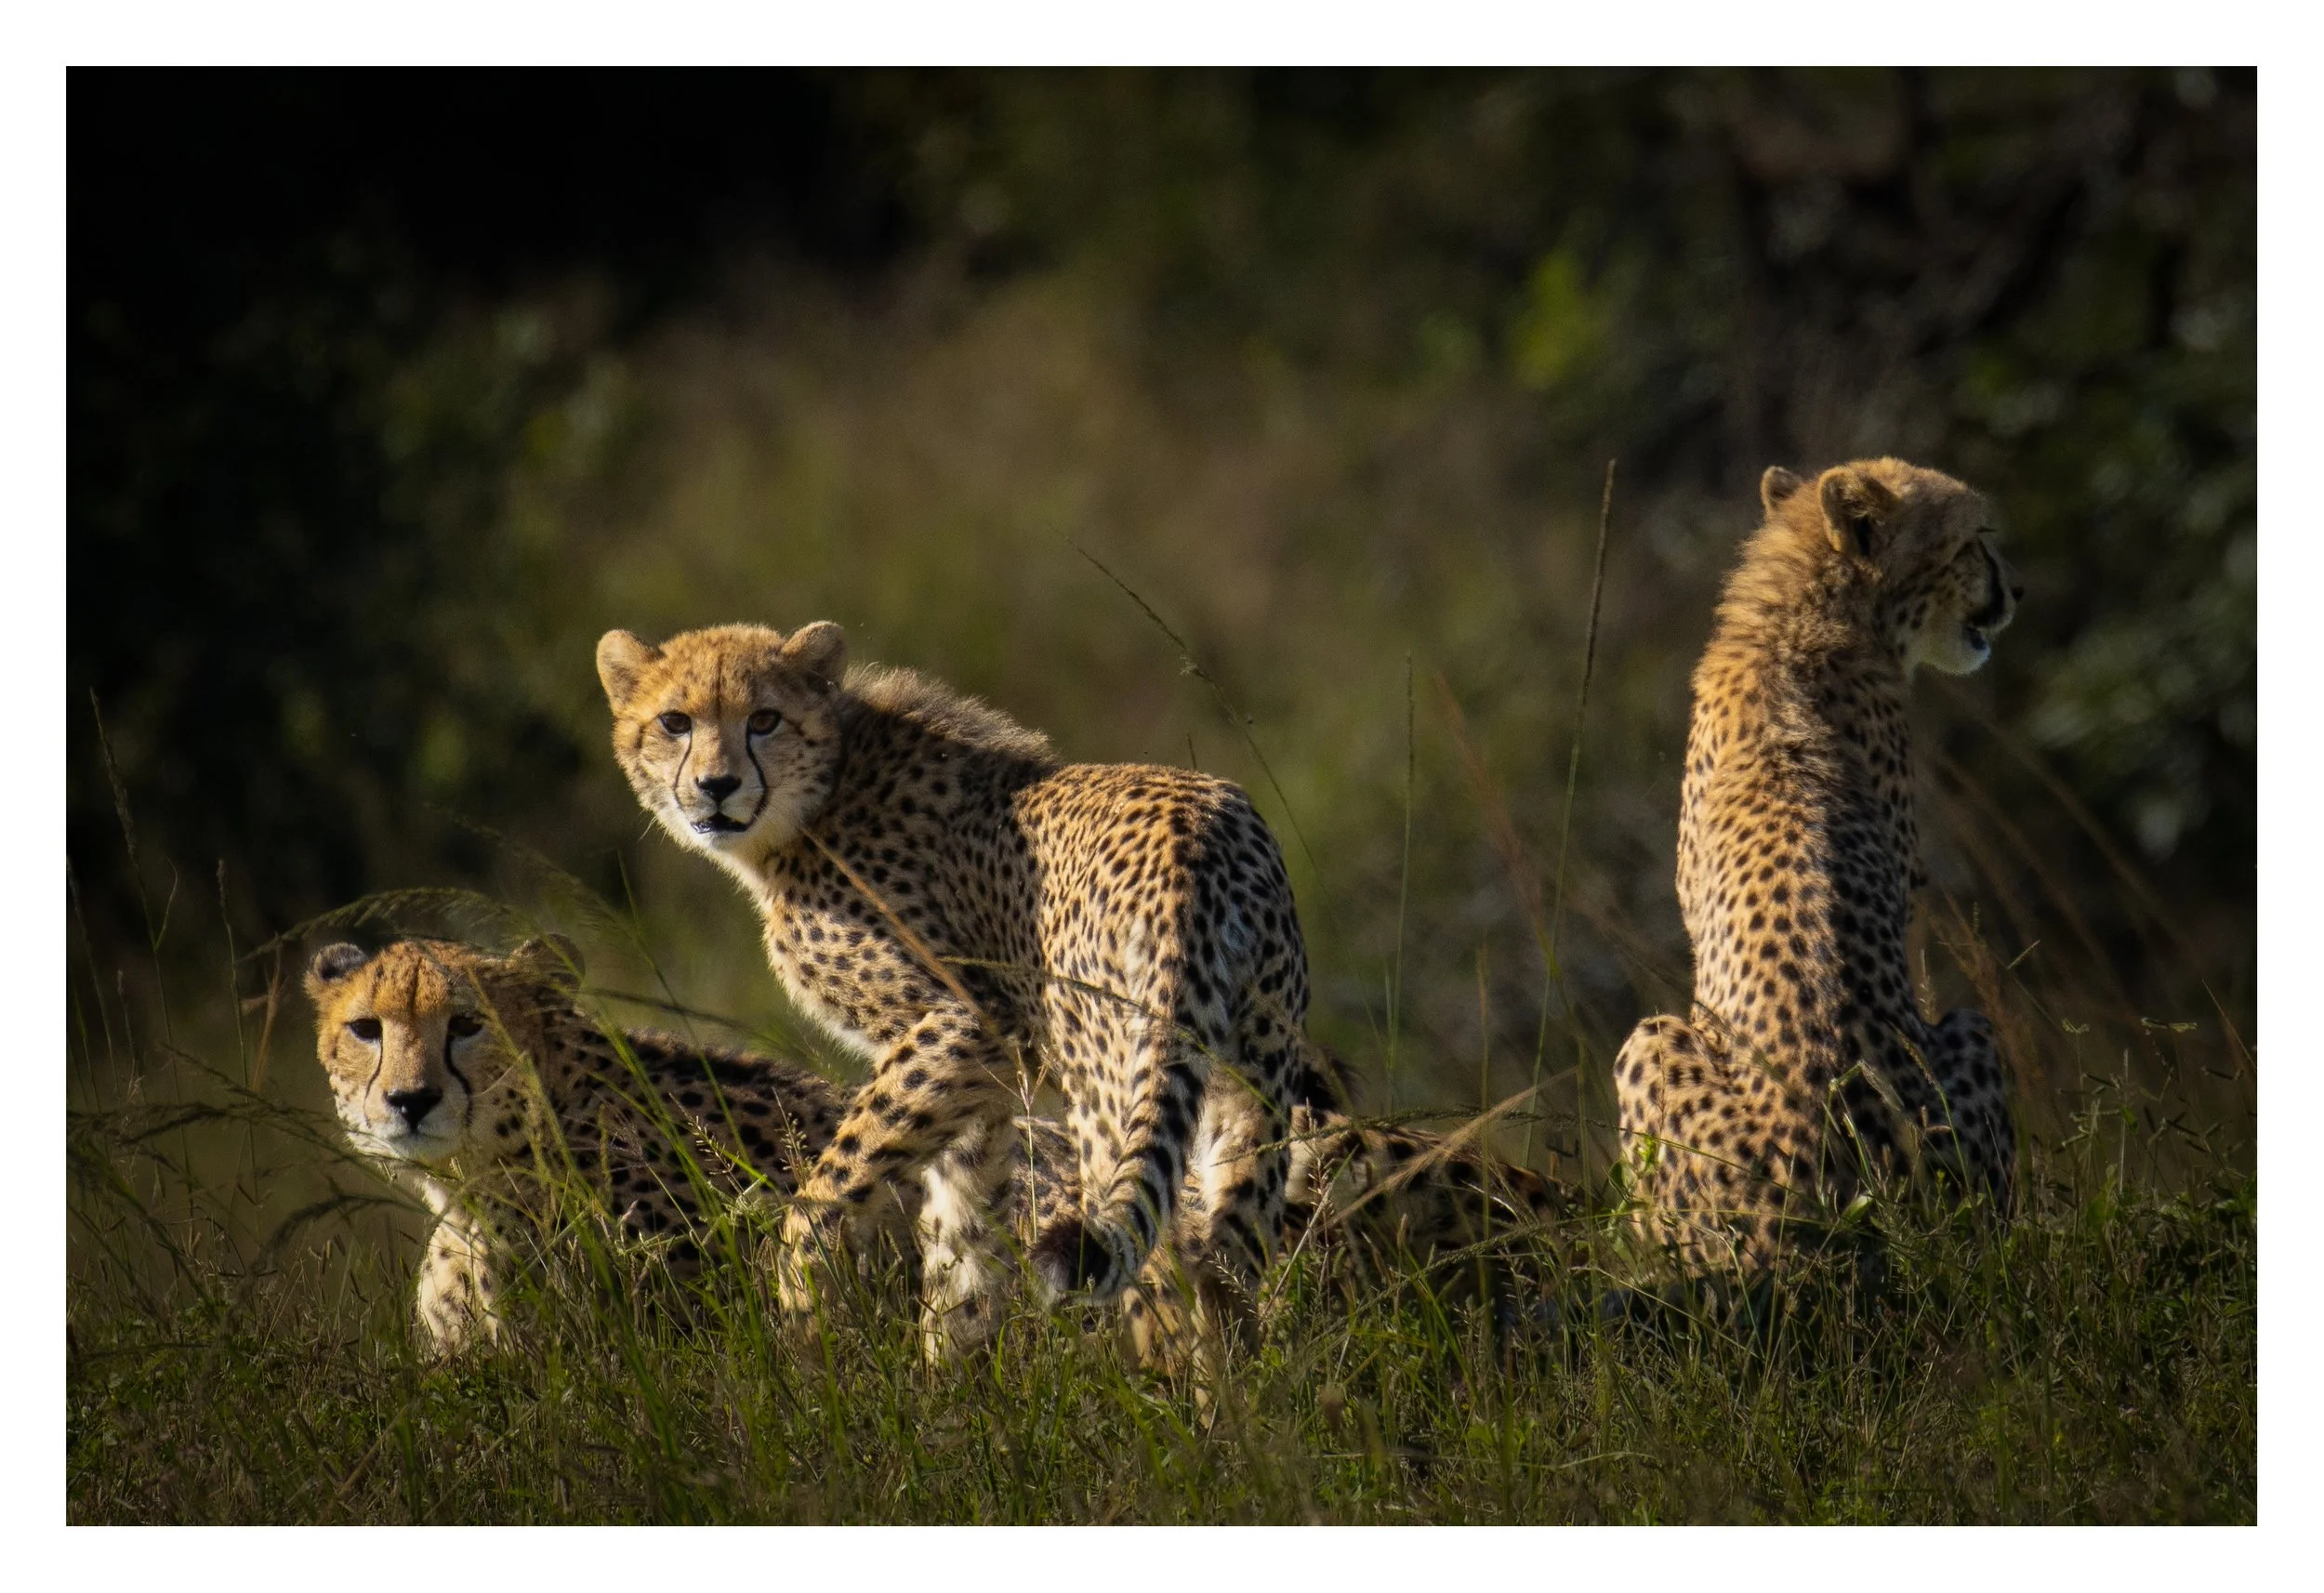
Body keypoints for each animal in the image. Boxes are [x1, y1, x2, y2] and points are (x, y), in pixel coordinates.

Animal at [596, 621, 1318, 1363]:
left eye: (764, 719)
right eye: (675, 722)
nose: (717, 785)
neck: (820, 796)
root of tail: (1196, 834)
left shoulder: (969, 1023)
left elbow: (831, 1189)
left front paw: (805, 1328)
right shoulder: (981, 1081)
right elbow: (964, 1228)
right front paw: (950, 1372)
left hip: (1111, 1082)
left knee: (1159, 1261)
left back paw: (1160, 1388)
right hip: (1251, 1077)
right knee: (1224, 1260)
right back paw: (1234, 1397)